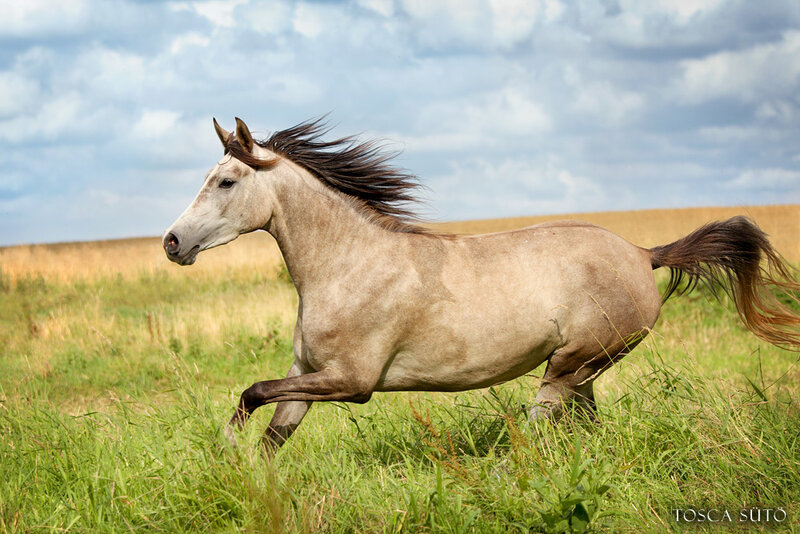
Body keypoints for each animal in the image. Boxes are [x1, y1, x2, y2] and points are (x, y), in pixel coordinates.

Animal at [163, 117, 800, 450]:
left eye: (225, 181)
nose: (171, 242)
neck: (347, 266)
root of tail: (645, 255)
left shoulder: (353, 381)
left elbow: (253, 392)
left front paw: (223, 452)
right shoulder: (306, 374)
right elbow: (271, 429)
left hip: (569, 366)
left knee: (538, 429)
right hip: (584, 372)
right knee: (584, 427)